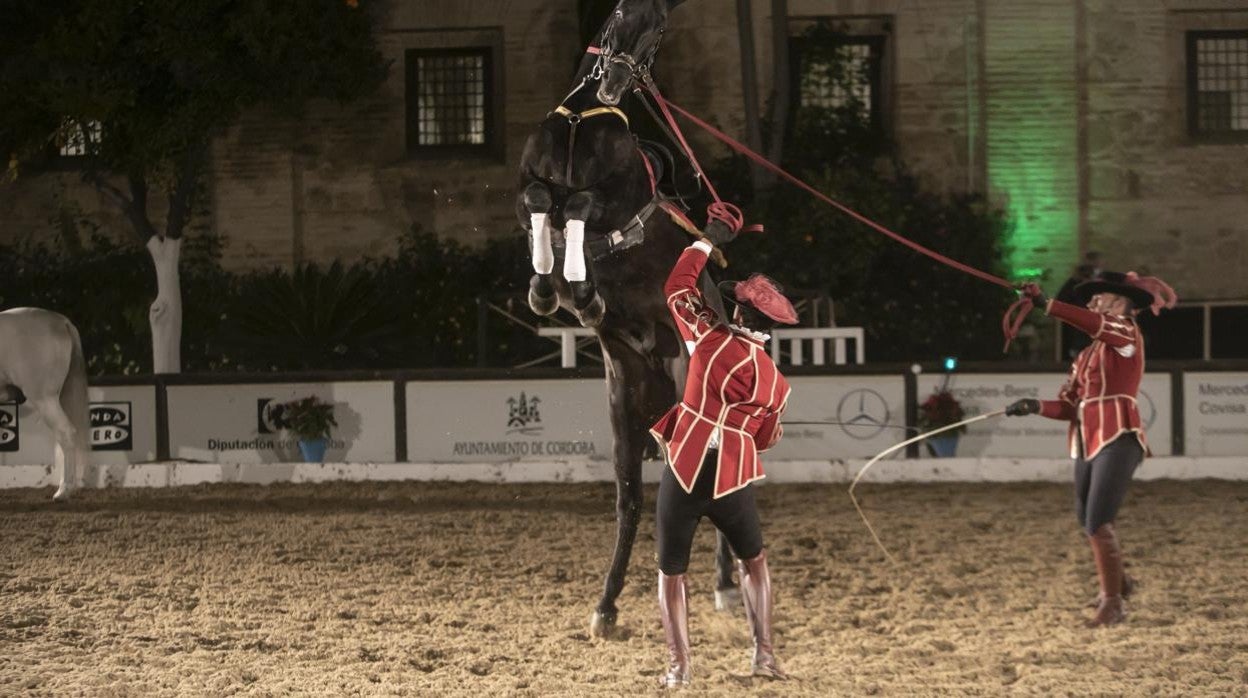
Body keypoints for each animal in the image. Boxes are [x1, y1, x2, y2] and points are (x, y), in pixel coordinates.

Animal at [516, 0, 738, 636]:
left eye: (659, 29)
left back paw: (723, 585)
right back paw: (607, 604)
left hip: (694, 396)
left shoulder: (616, 195)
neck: (584, 117)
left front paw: (578, 286)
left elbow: (583, 204)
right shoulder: (529, 183)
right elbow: (541, 203)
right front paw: (551, 287)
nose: (615, 80)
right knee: (633, 498)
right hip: (627, 406)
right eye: (618, 11)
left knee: (711, 480)